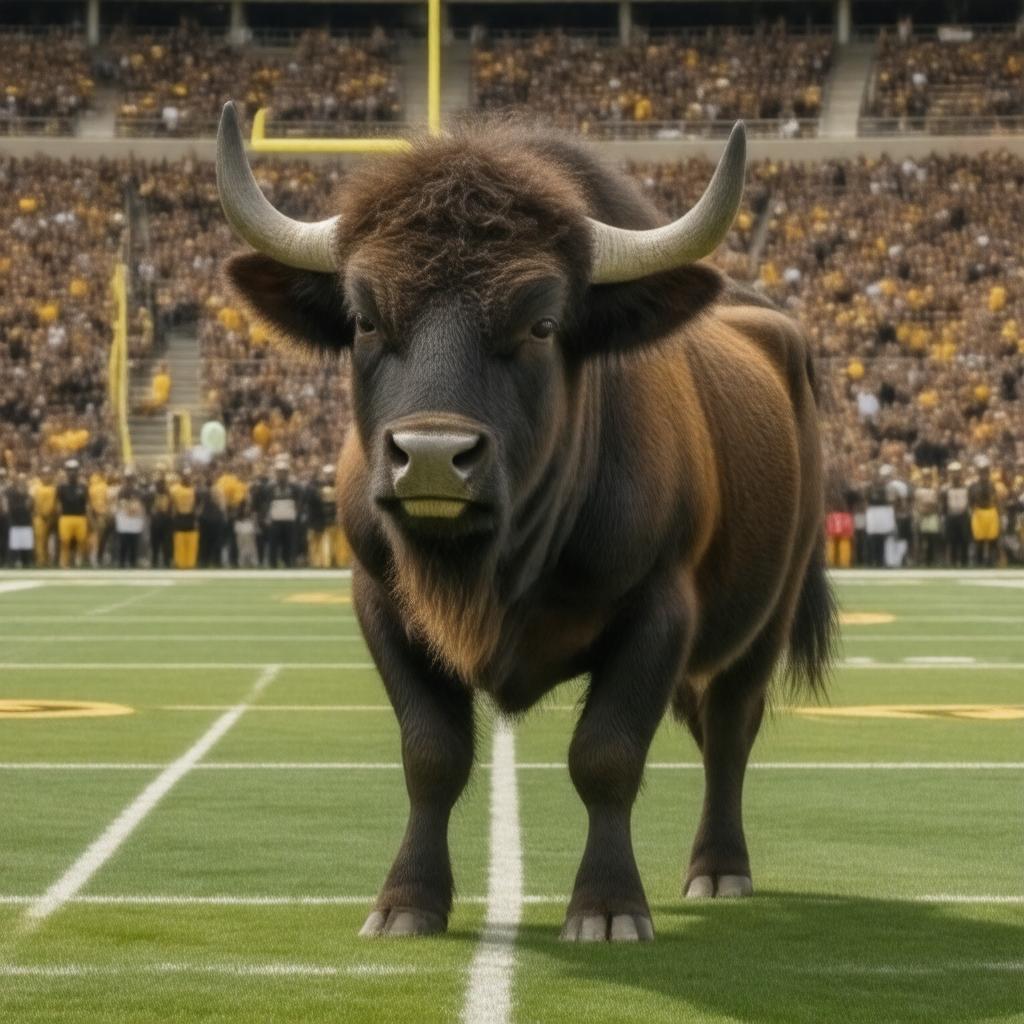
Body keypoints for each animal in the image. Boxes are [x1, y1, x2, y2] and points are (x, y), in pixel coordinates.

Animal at [217, 102, 836, 942]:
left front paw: (607, 910)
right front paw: (406, 904)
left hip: (765, 617)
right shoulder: (381, 603)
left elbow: (605, 756)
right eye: (365, 318)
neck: (498, 562)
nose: (433, 458)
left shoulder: (659, 610)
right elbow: (431, 754)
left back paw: (719, 871)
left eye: (542, 323)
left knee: (731, 728)